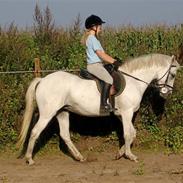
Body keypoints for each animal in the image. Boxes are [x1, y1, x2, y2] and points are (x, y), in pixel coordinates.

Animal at [17, 53, 180, 164]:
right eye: (172, 74)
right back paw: (29, 159)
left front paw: (120, 154)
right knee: (35, 132)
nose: (167, 93)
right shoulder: (127, 113)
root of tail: (42, 80)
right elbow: (128, 134)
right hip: (47, 113)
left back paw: (80, 157)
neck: (133, 81)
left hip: (62, 112)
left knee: (65, 135)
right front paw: (130, 155)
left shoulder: (122, 115)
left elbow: (132, 133)